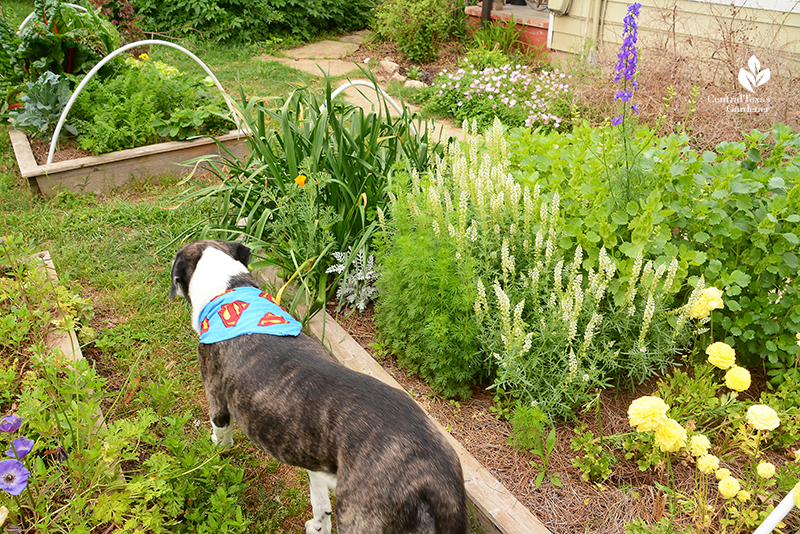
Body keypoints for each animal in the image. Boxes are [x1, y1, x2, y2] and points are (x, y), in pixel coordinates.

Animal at [169, 242, 468, 534]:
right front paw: (318, 524)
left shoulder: (217, 399)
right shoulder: (315, 462)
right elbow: (320, 503)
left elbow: (221, 438)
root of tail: (435, 477)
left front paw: (214, 456)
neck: (230, 294)